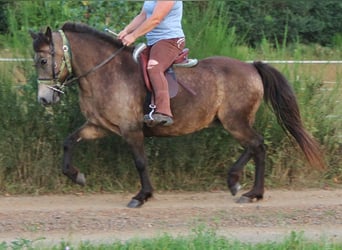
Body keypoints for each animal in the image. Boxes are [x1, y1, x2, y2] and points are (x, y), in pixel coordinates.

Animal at [29, 22, 324, 208]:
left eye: (43, 60)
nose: (44, 99)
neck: (105, 72)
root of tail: (251, 67)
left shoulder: (131, 129)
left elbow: (140, 162)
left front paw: (142, 196)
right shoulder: (98, 126)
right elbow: (68, 142)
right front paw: (76, 175)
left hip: (235, 121)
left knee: (258, 145)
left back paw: (250, 192)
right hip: (232, 122)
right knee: (255, 147)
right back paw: (239, 184)